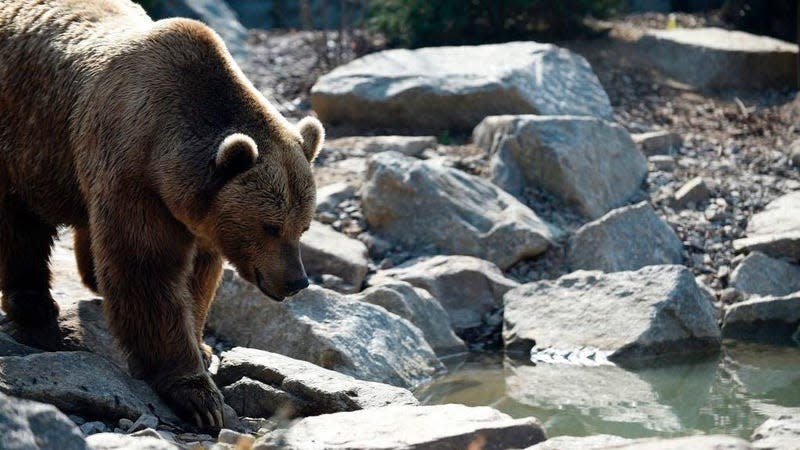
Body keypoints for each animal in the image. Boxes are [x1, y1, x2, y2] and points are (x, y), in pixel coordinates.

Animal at [1, 0, 324, 428]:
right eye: (270, 226)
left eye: (303, 228)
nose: (296, 281)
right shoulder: (134, 175)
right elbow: (146, 270)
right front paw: (199, 396)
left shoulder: (198, 216)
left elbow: (198, 277)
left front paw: (202, 347)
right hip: (26, 139)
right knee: (21, 226)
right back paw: (34, 307)